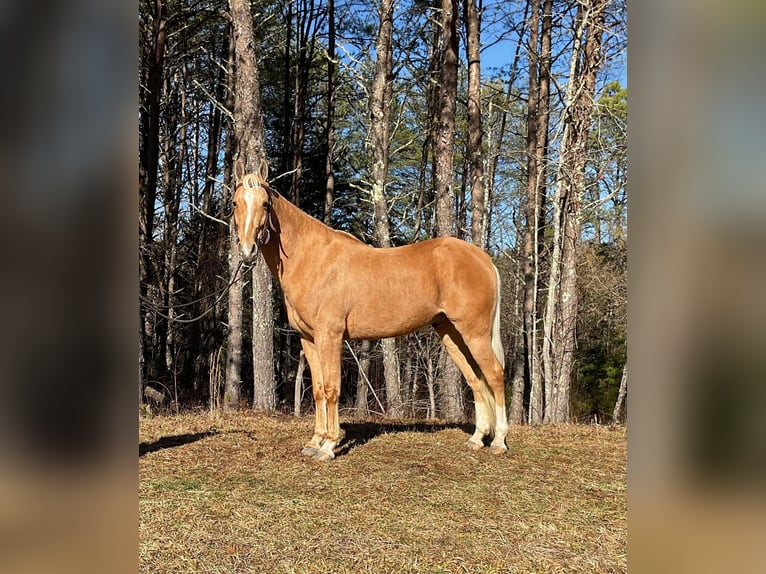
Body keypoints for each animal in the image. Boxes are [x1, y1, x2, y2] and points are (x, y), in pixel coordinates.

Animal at [234, 161, 510, 464]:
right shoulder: (309, 339)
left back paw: (498, 441)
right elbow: (318, 390)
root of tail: (483, 258)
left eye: (265, 204)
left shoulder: (330, 336)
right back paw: (477, 438)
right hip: (451, 333)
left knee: (494, 374)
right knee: (475, 378)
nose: (247, 251)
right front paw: (315, 441)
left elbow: (331, 388)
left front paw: (329, 445)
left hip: (475, 333)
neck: (312, 258)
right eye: (235, 202)